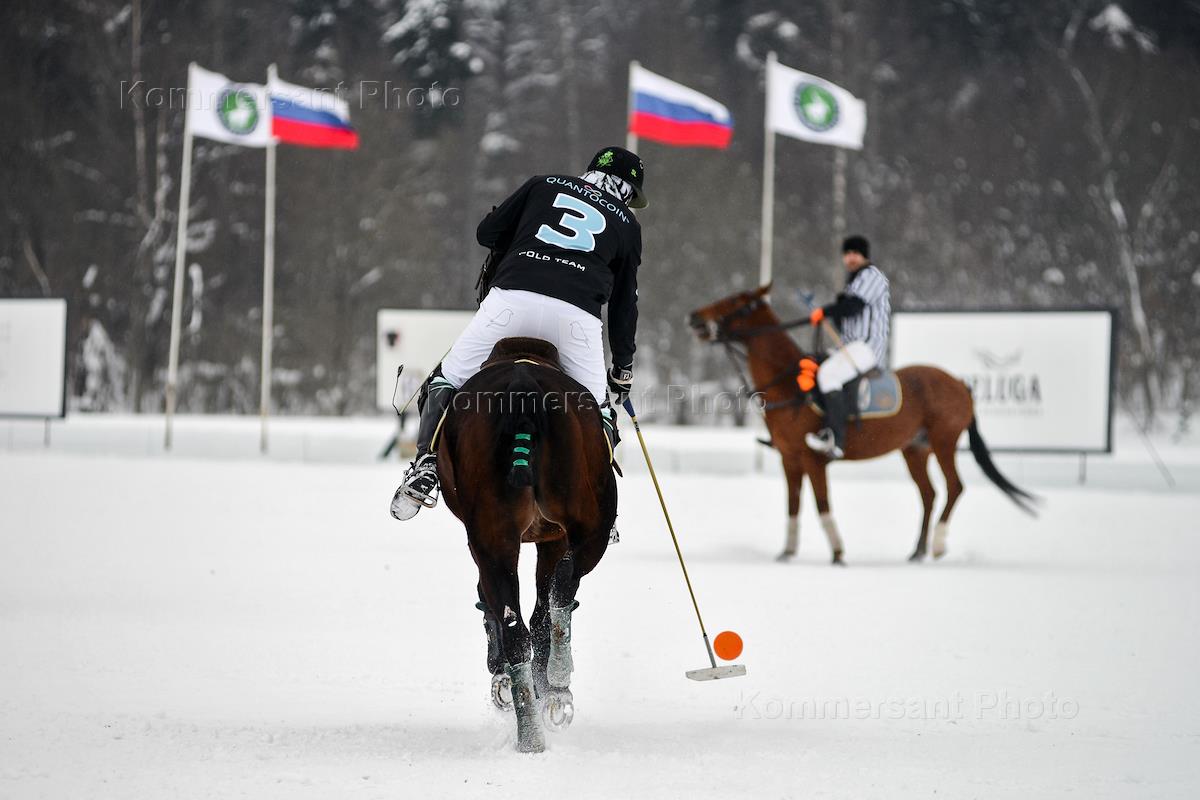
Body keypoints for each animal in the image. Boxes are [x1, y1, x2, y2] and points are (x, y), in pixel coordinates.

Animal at [436, 335, 614, 753]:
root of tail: (524, 386)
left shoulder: (531, 541)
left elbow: (511, 610)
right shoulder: (554, 538)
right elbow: (541, 610)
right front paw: (547, 688)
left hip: (494, 539)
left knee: (516, 622)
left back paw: (530, 729)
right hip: (590, 526)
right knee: (558, 594)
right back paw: (555, 689)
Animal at [691, 286, 1036, 563]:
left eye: (736, 302)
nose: (694, 317)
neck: (789, 385)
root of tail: (962, 385)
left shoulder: (813, 459)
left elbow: (821, 504)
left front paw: (838, 553)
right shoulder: (789, 459)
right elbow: (793, 505)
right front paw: (786, 553)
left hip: (944, 440)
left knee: (954, 487)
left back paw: (937, 546)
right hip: (915, 448)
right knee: (929, 493)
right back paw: (917, 551)